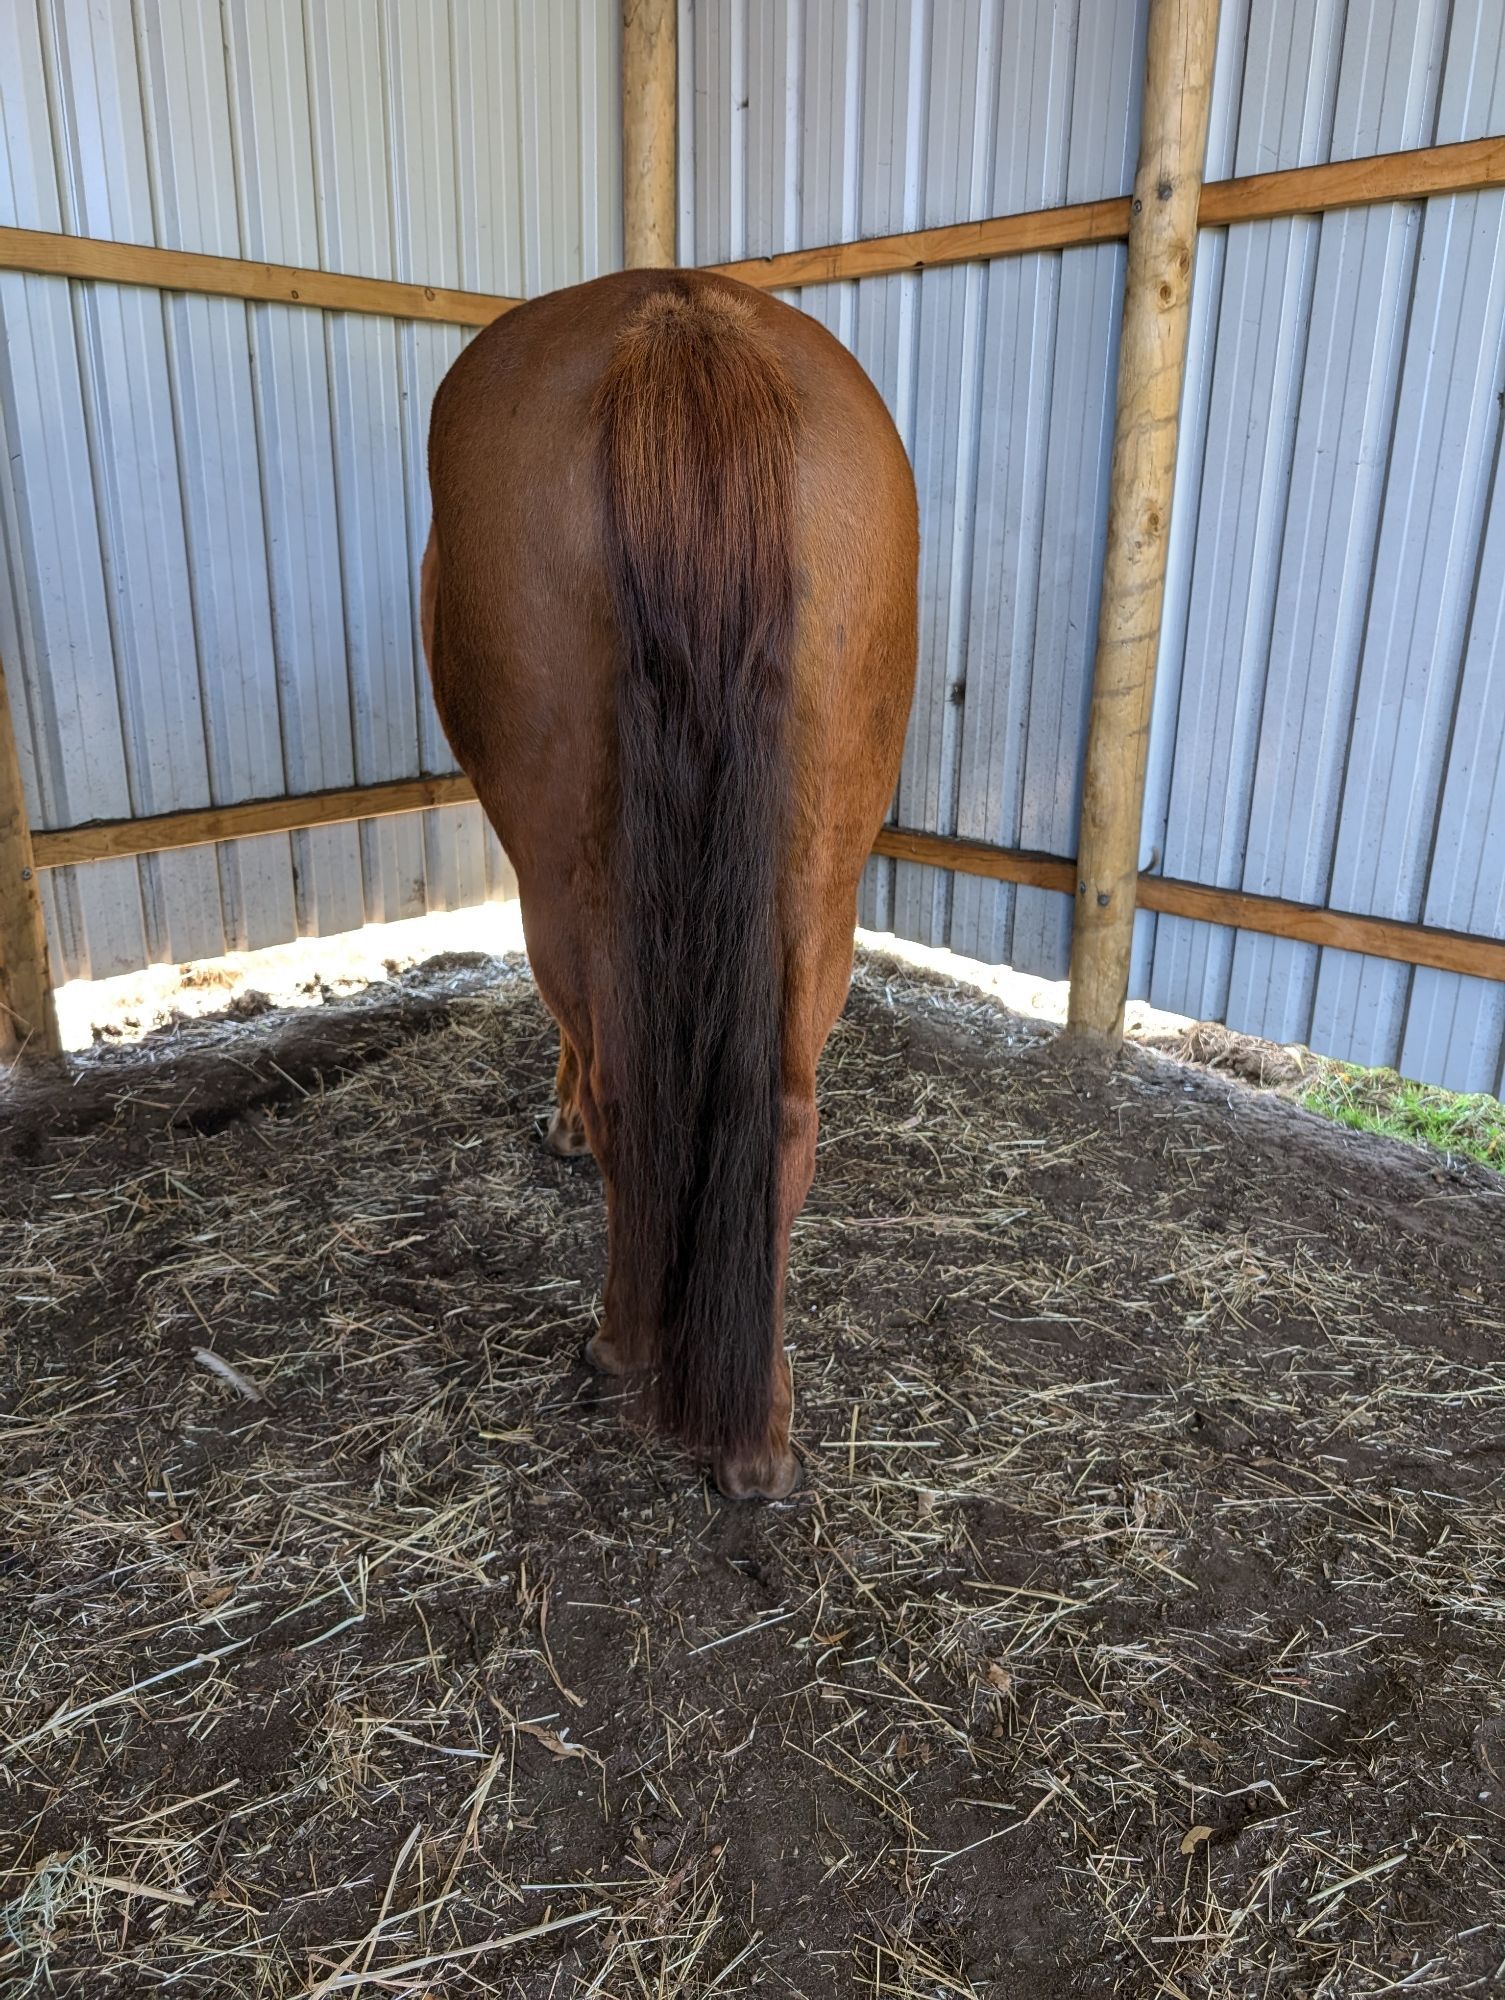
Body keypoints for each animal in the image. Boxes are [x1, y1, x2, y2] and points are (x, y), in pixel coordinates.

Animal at [420, 266, 916, 1496]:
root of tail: (683, 317)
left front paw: (554, 1120)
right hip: (820, 885)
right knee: (784, 1116)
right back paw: (757, 1432)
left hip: (564, 872)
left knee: (622, 1084)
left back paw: (620, 1341)